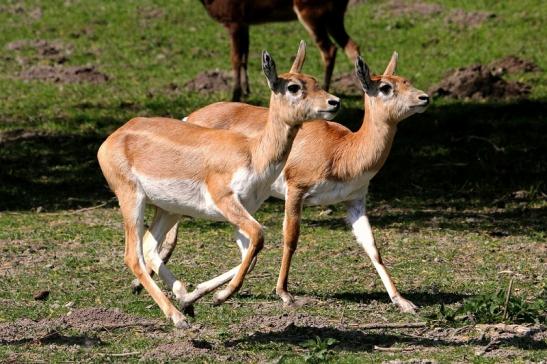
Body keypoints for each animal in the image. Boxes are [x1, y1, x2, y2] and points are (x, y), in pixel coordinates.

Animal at [96, 42, 340, 328]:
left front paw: (201, 296)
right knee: (133, 255)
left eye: (314, 80)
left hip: (169, 208)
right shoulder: (225, 201)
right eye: (293, 86)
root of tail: (114, 136)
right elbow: (259, 235)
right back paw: (178, 317)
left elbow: (251, 254)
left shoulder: (244, 210)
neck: (253, 153)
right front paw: (221, 296)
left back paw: (184, 299)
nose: (334, 102)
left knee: (149, 246)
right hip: (131, 198)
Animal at [141, 50, 432, 312]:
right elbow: (291, 238)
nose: (425, 97)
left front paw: (403, 301)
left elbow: (372, 247)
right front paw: (284, 293)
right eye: (385, 87)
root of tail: (190, 117)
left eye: (405, 80)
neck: (343, 150)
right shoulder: (297, 190)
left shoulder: (355, 200)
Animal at [199, 0, 362, 101]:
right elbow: (245, 55)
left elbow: (235, 58)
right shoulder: (245, 23)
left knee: (329, 49)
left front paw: (235, 96)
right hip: (334, 16)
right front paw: (246, 91)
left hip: (312, 13)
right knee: (352, 46)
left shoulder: (234, 20)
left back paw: (325, 88)